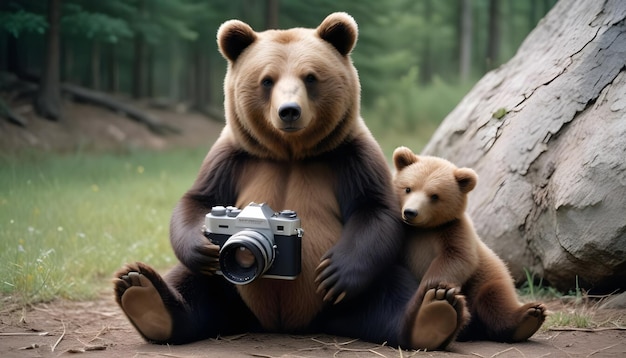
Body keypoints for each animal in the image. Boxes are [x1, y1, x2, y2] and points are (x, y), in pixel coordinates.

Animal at [112, 13, 464, 350]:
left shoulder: (350, 155)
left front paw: (333, 272)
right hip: (229, 293)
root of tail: (282, 324)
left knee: (391, 293)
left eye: (310, 77)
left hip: (352, 299)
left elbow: (375, 208)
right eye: (267, 80)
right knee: (193, 285)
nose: (289, 111)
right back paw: (145, 295)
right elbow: (199, 199)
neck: (289, 151)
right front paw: (200, 246)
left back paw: (432, 314)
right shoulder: (234, 156)